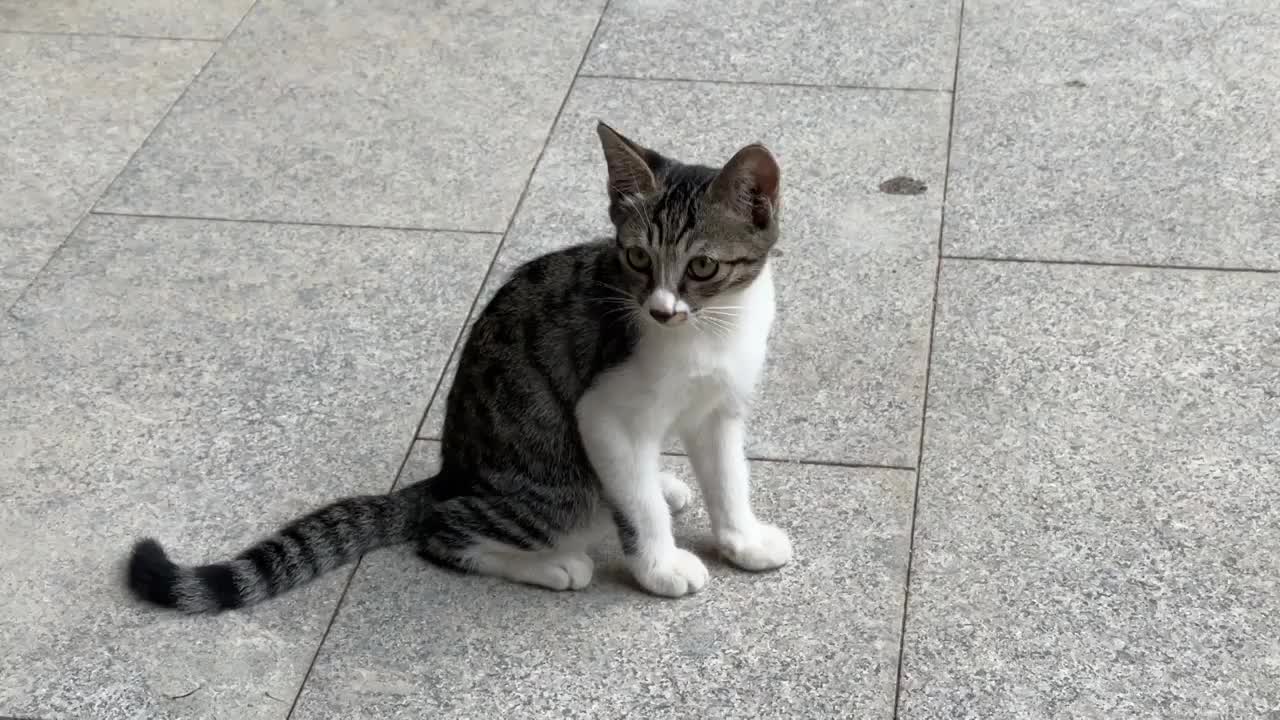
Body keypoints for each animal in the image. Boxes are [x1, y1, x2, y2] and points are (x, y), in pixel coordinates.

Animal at [127, 119, 788, 609]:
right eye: (636, 258)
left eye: (702, 266)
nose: (659, 310)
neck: (711, 331)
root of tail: (451, 472)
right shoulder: (604, 413)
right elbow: (638, 506)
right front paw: (659, 566)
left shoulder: (720, 407)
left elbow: (729, 477)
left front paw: (742, 539)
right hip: (554, 482)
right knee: (444, 530)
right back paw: (551, 563)